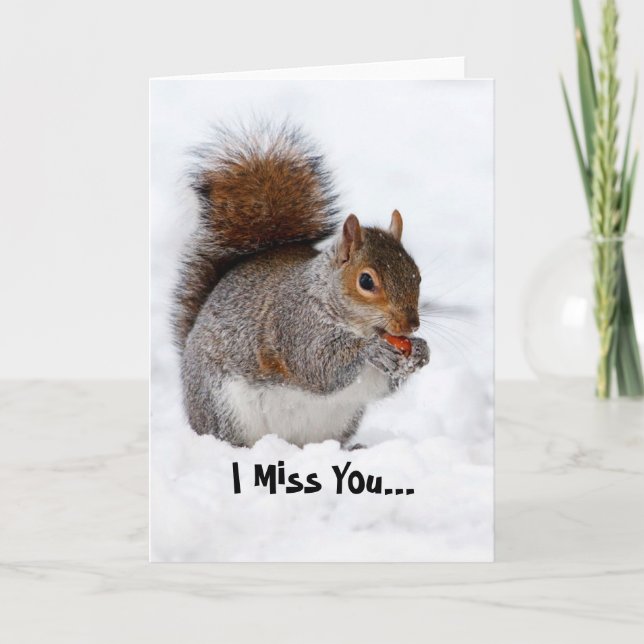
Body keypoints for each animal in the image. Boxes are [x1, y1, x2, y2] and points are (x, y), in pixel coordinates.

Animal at [174, 122, 430, 448]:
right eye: (366, 281)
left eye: (417, 275)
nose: (411, 325)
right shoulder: (295, 324)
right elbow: (318, 364)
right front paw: (370, 350)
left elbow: (380, 384)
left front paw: (421, 351)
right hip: (223, 407)